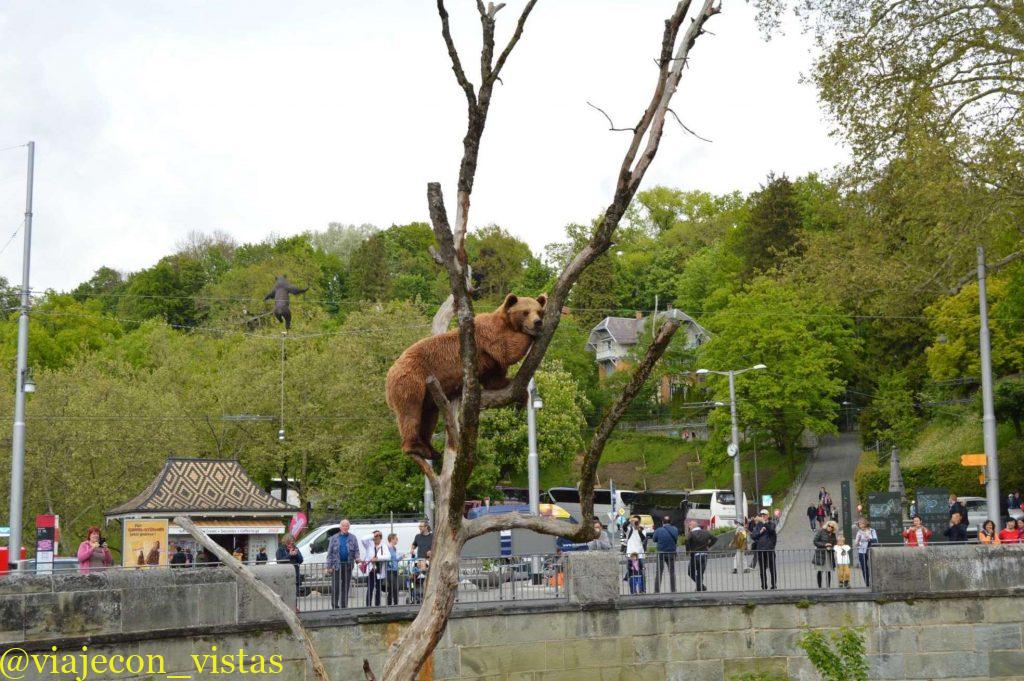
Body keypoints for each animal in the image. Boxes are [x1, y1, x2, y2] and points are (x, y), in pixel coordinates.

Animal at [385, 293, 547, 460]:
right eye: (525, 312)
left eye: (540, 311)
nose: (537, 322)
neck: (508, 324)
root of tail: (390, 371)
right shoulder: (488, 334)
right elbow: (507, 349)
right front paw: (532, 334)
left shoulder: (490, 361)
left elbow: (495, 380)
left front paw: (519, 394)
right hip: (411, 380)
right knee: (410, 413)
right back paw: (415, 447)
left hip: (429, 393)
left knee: (429, 416)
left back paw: (431, 450)